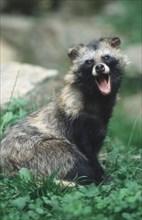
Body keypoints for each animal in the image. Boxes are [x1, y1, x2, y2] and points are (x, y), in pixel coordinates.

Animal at [0, 37, 129, 184]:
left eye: (106, 57)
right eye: (88, 62)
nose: (99, 67)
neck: (97, 98)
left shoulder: (100, 124)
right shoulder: (77, 123)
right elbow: (88, 153)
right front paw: (101, 175)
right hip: (44, 154)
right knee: (75, 161)